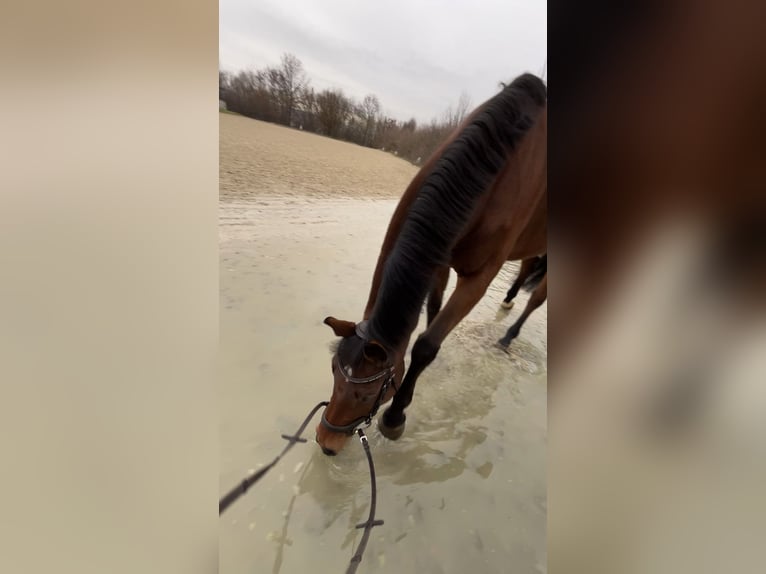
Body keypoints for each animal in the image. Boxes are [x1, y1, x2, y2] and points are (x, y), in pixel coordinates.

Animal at [315, 73, 547, 455]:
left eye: (368, 392)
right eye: (334, 369)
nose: (326, 440)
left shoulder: (479, 277)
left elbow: (426, 345)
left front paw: (396, 417)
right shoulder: (439, 262)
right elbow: (432, 314)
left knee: (538, 297)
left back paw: (509, 336)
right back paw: (508, 301)